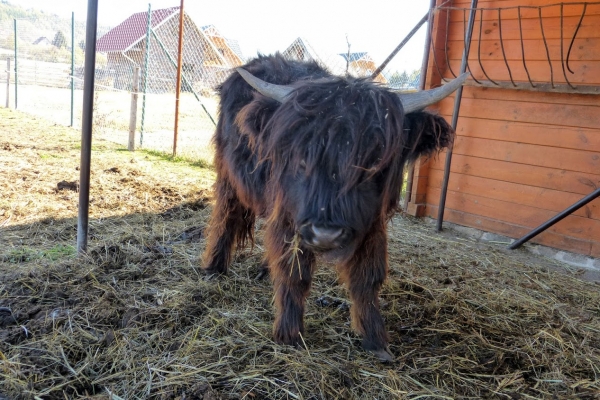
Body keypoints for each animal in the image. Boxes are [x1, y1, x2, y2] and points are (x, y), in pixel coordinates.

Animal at [204, 54, 466, 360]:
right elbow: (294, 271)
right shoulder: (289, 216)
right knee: (225, 216)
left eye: (373, 163)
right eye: (302, 157)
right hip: (228, 177)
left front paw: (375, 339)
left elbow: (368, 277)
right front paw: (289, 333)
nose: (325, 234)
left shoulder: (372, 225)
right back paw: (215, 267)